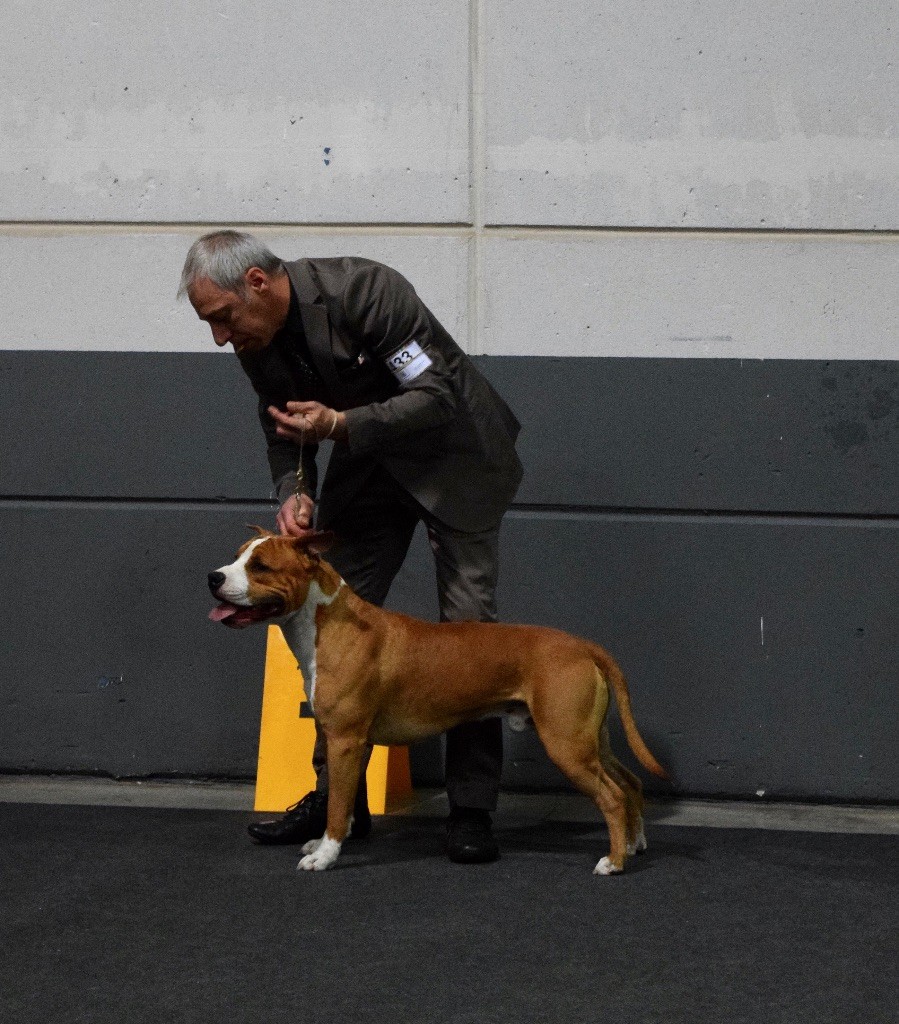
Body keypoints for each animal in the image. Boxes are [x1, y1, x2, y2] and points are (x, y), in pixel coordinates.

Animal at [209, 532, 667, 876]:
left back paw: (613, 862)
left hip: (566, 744)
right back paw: (635, 843)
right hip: (589, 738)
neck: (329, 622)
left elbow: (339, 805)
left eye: (260, 565)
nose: (213, 576)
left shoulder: (345, 740)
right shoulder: (351, 742)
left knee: (612, 796)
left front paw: (325, 856)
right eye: (237, 557)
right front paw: (321, 843)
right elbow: (343, 798)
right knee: (630, 783)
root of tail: (584, 646)